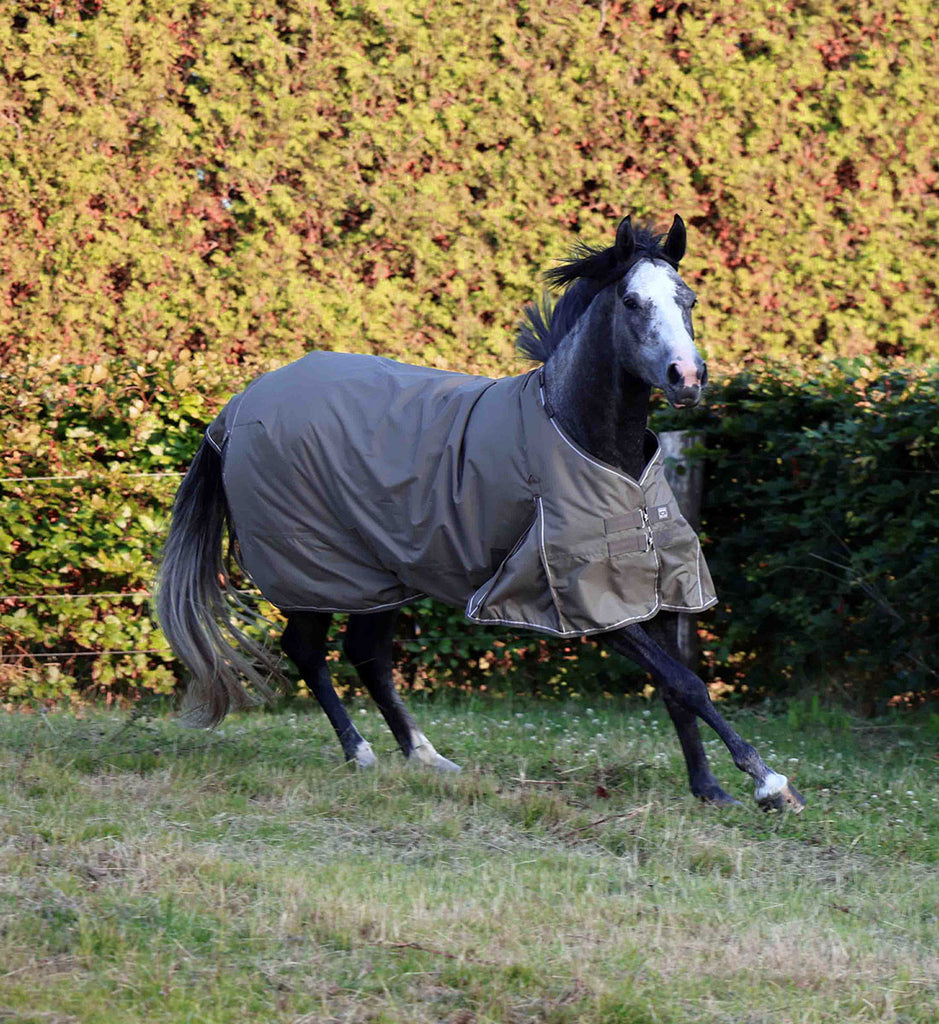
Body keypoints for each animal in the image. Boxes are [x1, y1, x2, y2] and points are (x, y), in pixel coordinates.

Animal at [155, 211, 806, 811]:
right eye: (630, 300)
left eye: (688, 299)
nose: (687, 378)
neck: (588, 442)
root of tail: (237, 407)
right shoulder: (587, 605)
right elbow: (686, 683)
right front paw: (769, 783)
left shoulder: (659, 587)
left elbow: (676, 686)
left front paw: (709, 789)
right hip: (316, 571)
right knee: (308, 651)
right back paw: (360, 754)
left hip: (380, 575)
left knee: (366, 654)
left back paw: (427, 758)